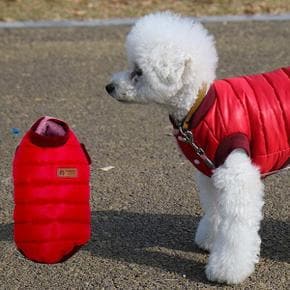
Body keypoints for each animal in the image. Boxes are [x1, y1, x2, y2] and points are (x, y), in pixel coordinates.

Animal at [106, 12, 290, 284]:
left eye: (138, 71)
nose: (109, 87)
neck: (197, 106)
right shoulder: (211, 172)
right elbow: (215, 210)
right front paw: (210, 240)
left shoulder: (237, 178)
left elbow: (235, 228)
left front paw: (227, 269)